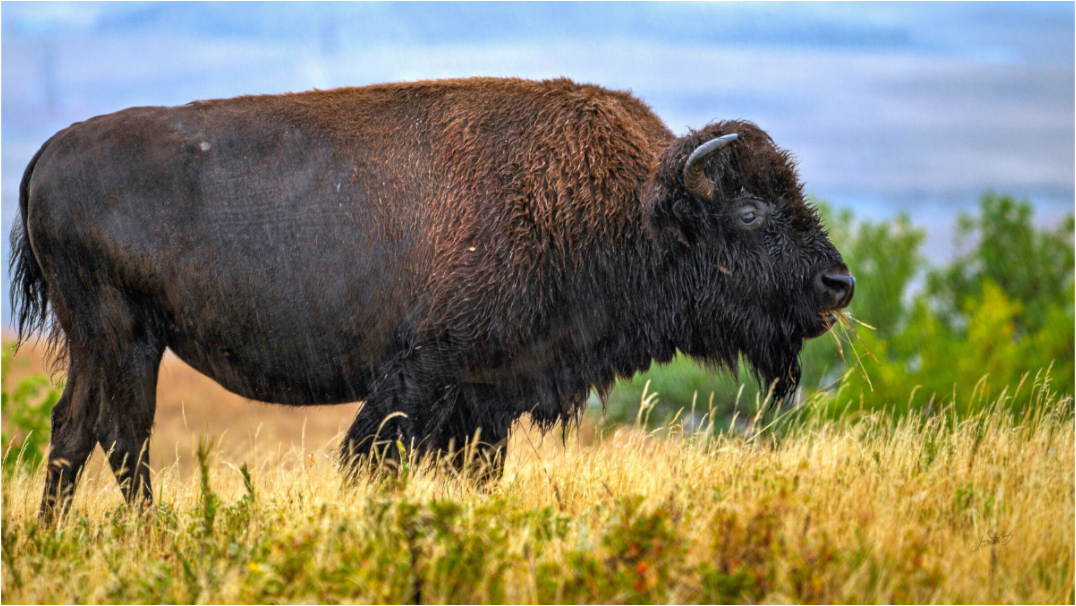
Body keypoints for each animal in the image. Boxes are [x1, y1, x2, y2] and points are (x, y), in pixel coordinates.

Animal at [10, 77, 853, 521]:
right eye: (751, 211)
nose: (837, 285)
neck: (624, 206)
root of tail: (45, 154)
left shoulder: (486, 399)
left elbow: (474, 471)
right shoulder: (424, 374)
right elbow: (370, 456)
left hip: (96, 341)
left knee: (72, 428)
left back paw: (58, 536)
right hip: (127, 336)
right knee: (123, 435)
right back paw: (148, 536)